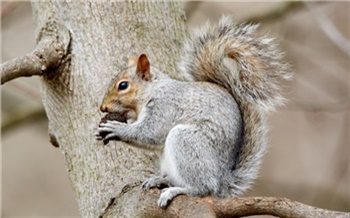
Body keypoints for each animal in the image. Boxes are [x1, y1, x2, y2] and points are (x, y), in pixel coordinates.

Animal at [95, 15, 290, 208]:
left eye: (123, 85)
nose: (103, 108)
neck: (153, 91)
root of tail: (222, 182)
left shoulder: (165, 106)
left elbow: (151, 133)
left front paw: (117, 128)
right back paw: (161, 180)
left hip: (188, 142)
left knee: (202, 188)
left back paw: (176, 190)